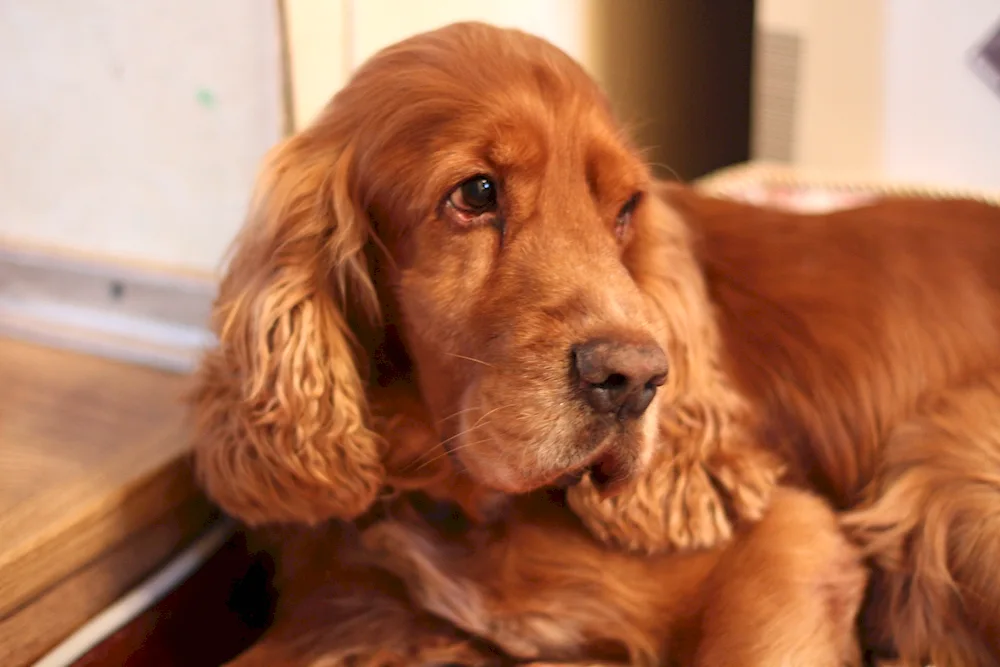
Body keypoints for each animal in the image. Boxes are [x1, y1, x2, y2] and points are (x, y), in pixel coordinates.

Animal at [189, 20, 1000, 667]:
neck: (461, 503)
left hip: (947, 462)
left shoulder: (793, 541)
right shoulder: (346, 611)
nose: (637, 378)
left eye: (627, 208)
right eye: (476, 193)